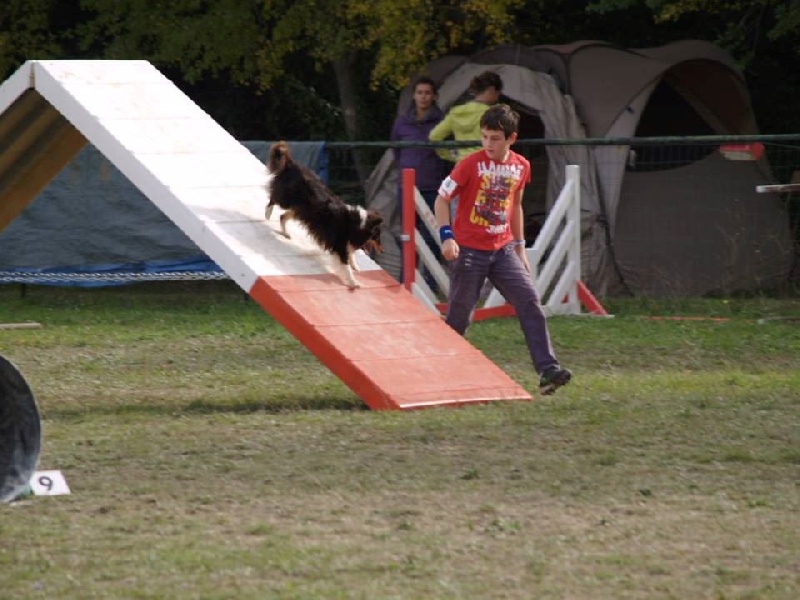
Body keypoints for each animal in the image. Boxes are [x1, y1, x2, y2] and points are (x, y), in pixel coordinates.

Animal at [264, 142, 382, 290]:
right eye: (377, 236)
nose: (382, 251)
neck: (359, 224)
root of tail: (293, 164)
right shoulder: (339, 245)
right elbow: (346, 266)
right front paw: (354, 283)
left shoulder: (345, 244)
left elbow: (351, 257)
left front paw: (356, 267)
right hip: (287, 200)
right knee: (273, 198)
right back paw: (267, 213)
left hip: (300, 210)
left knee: (282, 216)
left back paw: (286, 233)